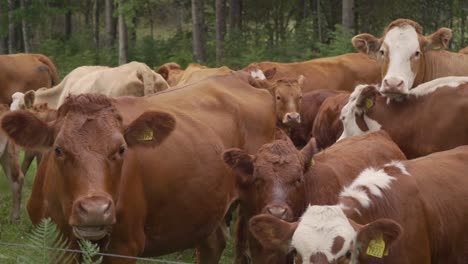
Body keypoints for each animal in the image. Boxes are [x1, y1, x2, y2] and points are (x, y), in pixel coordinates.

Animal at [1, 71, 276, 262]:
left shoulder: (124, 246)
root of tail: (239, 77)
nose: (94, 210)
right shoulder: (57, 246)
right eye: (58, 149)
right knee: (212, 245)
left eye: (121, 149)